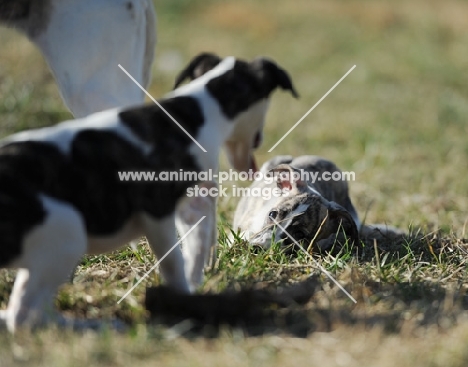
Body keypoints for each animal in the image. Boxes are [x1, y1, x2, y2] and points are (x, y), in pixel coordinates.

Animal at [0, 56, 296, 332]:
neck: (203, 106)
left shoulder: (192, 208)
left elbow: (195, 249)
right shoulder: (158, 212)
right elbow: (175, 262)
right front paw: (185, 300)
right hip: (68, 233)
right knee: (24, 316)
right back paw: (92, 325)